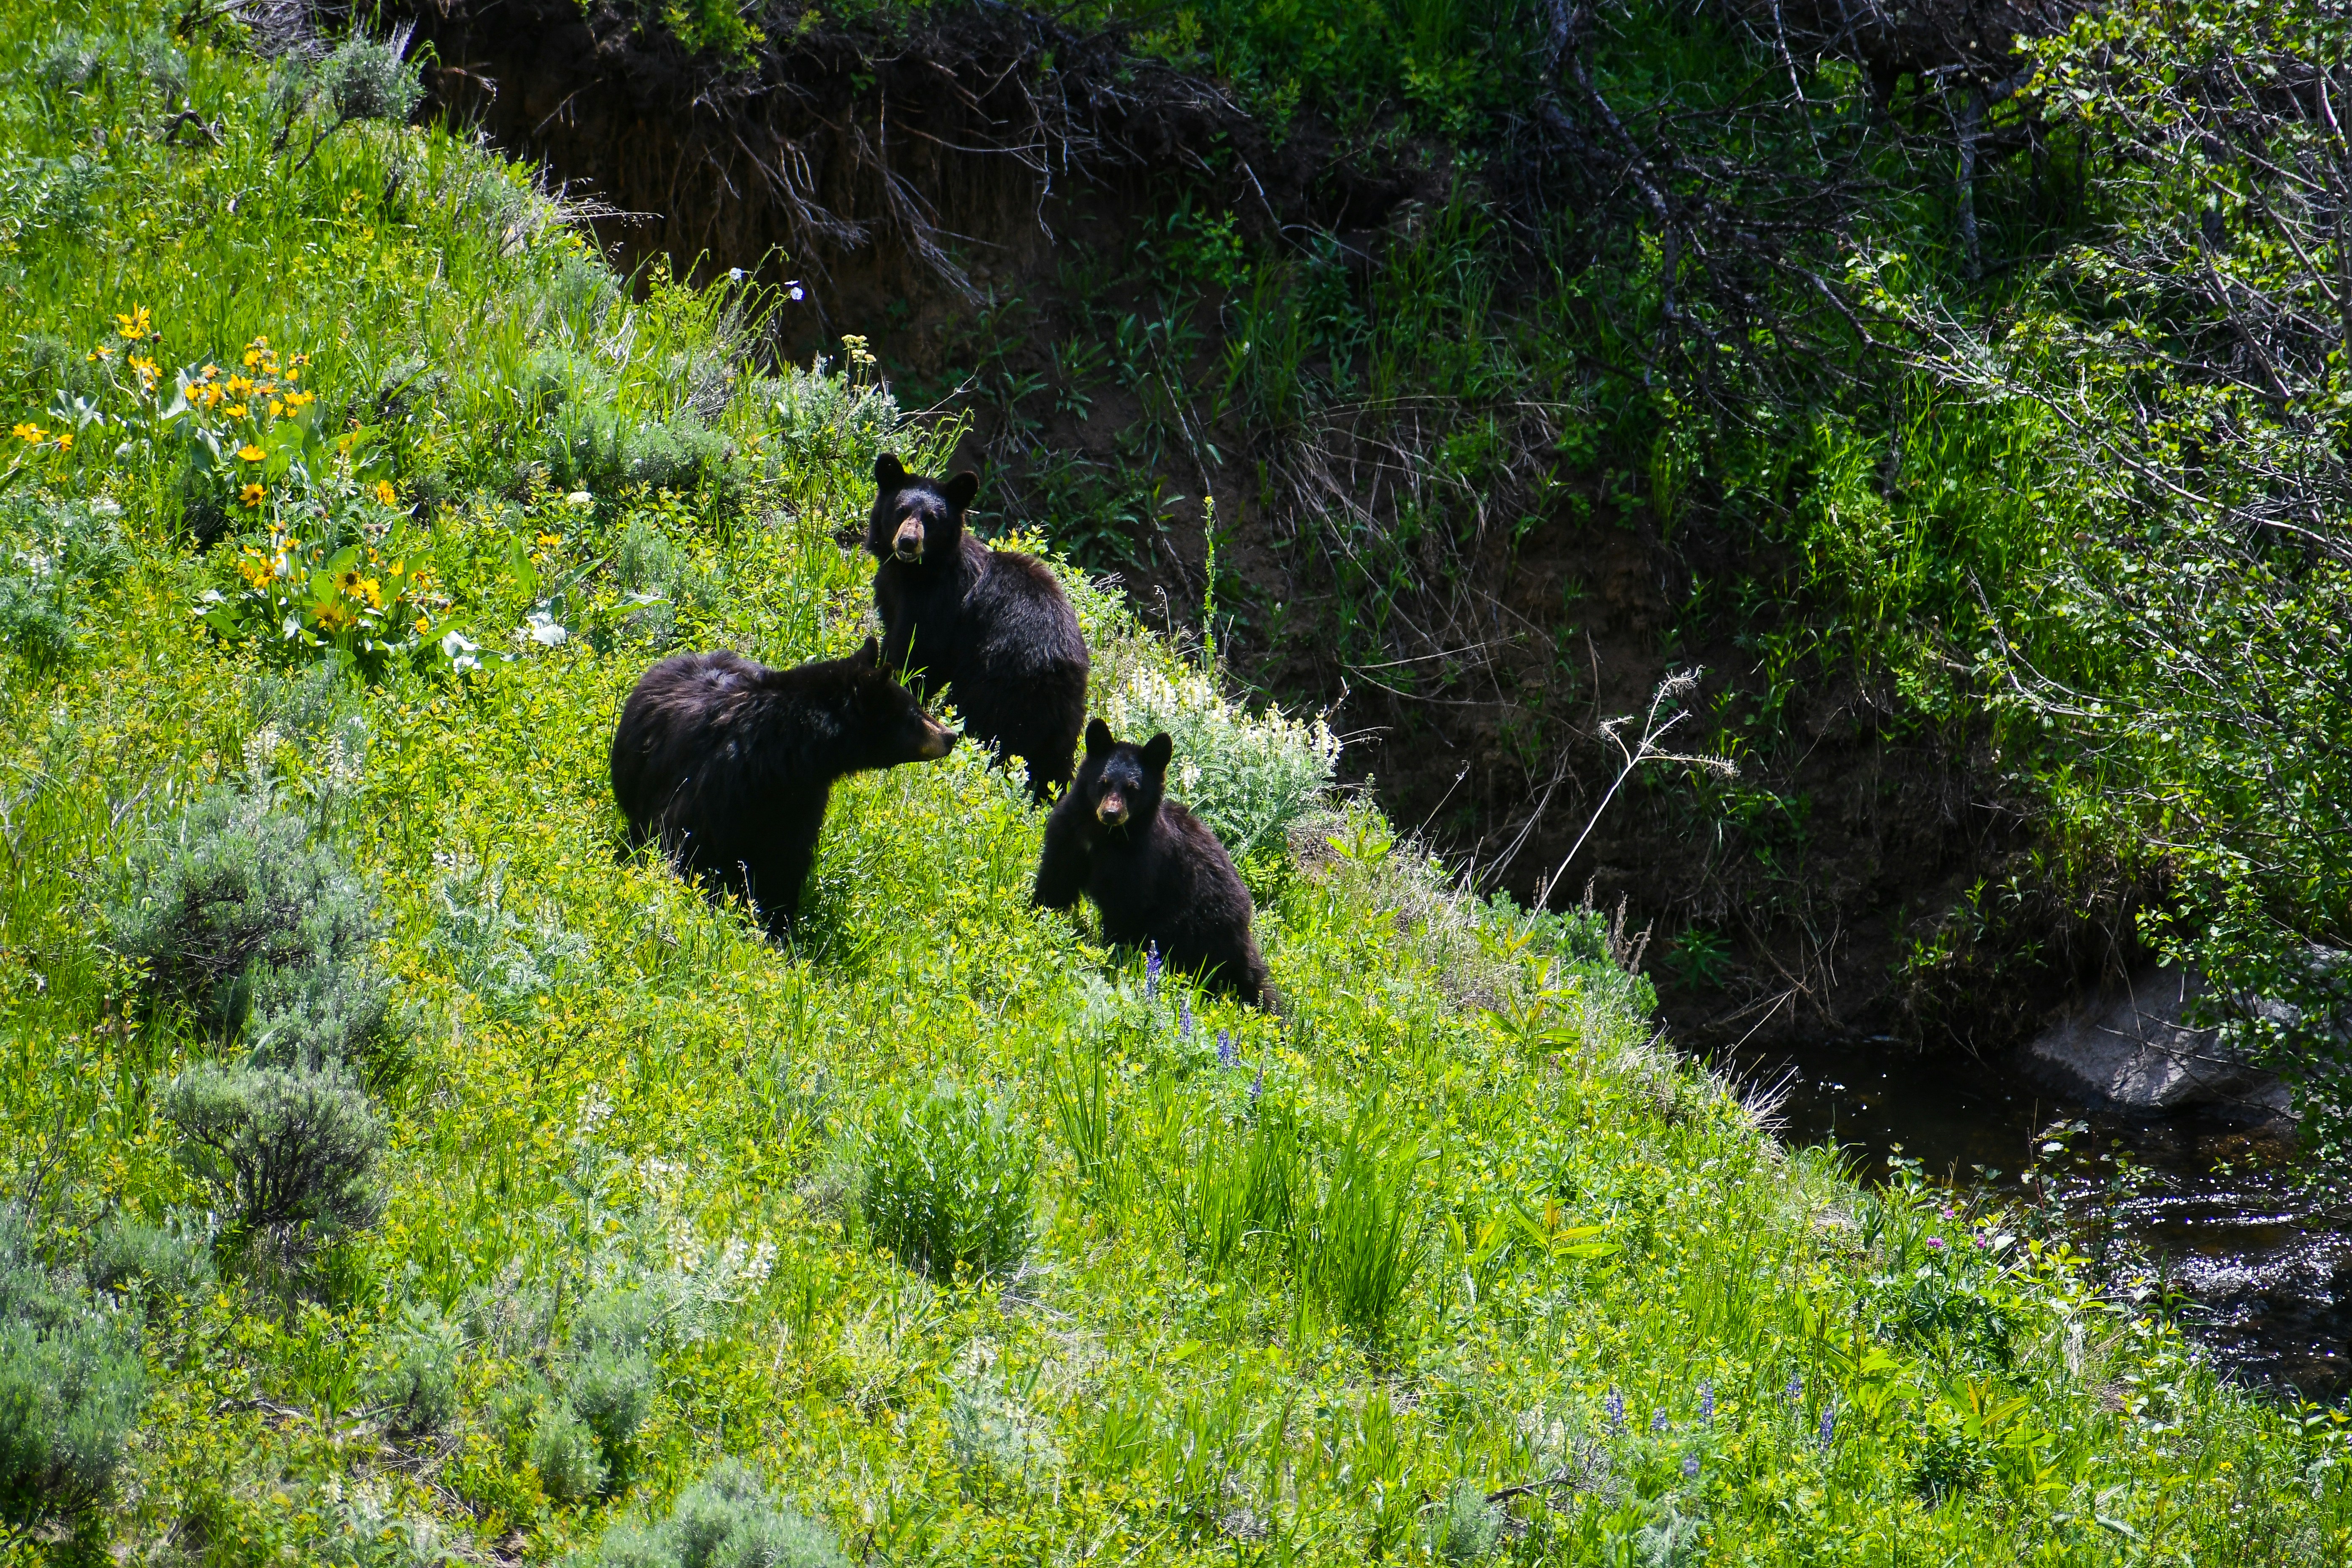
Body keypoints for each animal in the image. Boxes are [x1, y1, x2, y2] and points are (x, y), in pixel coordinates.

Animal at [610, 639, 957, 936]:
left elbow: (783, 867)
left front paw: (778, 933)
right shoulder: (710, 792)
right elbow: (683, 848)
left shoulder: (799, 803)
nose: (951, 736)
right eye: (912, 713)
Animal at [868, 453, 1088, 802]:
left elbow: (915, 654)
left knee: (982, 725)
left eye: (932, 518)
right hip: (1063, 720)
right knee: (1052, 763)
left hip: (995, 685)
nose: (908, 542)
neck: (916, 573)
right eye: (901, 510)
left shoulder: (937, 607)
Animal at [1031, 719, 1271, 1006]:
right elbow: (1056, 880)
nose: (1111, 814)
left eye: (1133, 789)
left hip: (1193, 924)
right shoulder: (1070, 836)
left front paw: (1113, 957)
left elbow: (1125, 908)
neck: (1102, 835)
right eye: (1104, 782)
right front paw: (1038, 917)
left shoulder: (1140, 862)